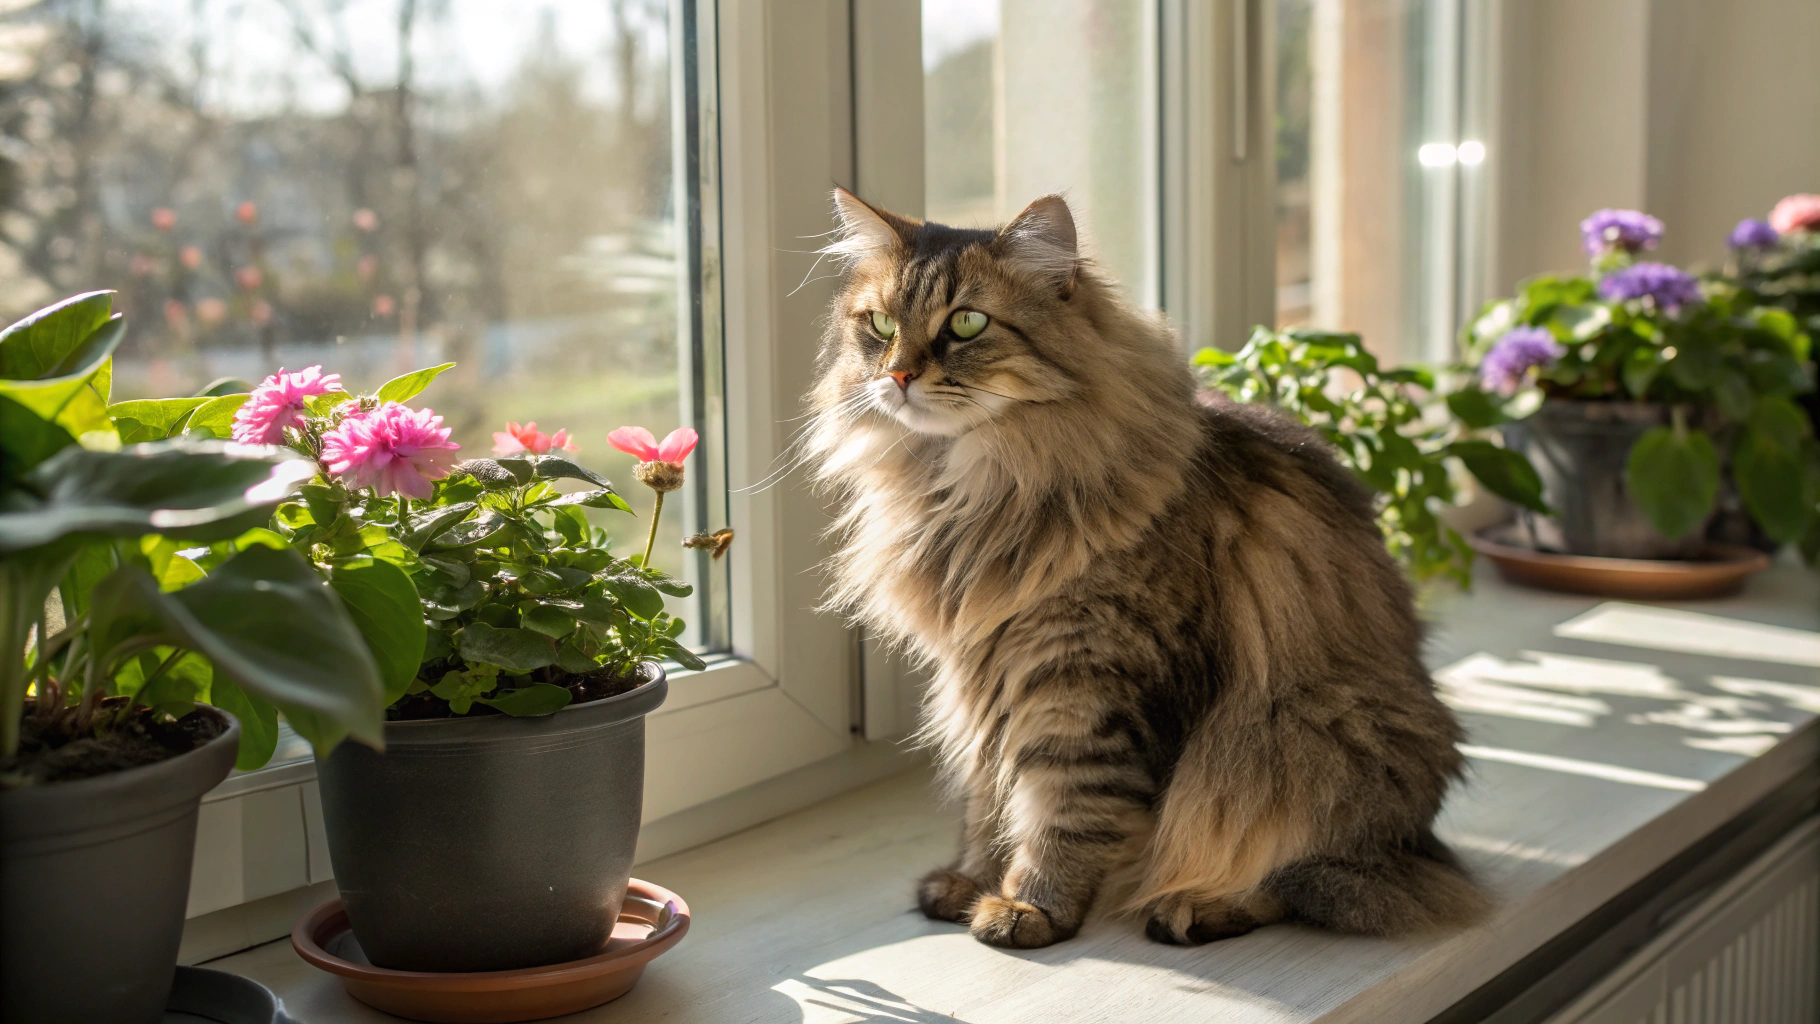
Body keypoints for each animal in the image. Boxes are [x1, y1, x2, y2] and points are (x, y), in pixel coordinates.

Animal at [804, 188, 1485, 953]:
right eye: (881, 325)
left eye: (967, 324)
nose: (897, 374)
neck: (970, 491)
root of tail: (1420, 842)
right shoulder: (983, 673)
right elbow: (988, 798)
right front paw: (970, 879)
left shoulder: (1087, 680)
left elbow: (1064, 806)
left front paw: (1029, 906)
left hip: (1310, 733)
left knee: (1294, 871)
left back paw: (1197, 907)